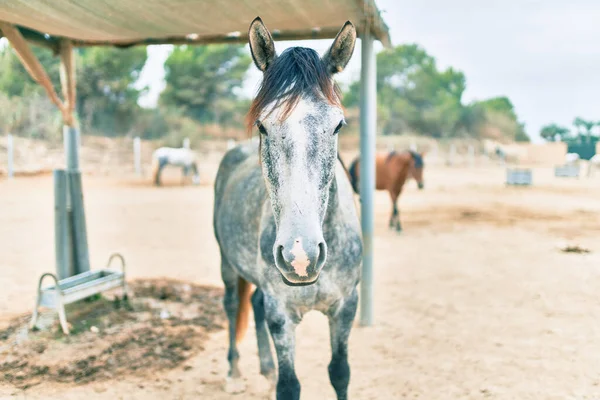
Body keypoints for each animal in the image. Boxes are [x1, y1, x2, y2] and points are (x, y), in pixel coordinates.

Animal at [214, 17, 360, 400]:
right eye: (263, 125)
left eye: (337, 125)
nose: (300, 256)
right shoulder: (282, 313)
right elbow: (289, 385)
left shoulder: (346, 308)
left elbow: (340, 373)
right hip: (227, 264)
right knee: (232, 305)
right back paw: (233, 372)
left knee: (254, 305)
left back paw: (264, 369)